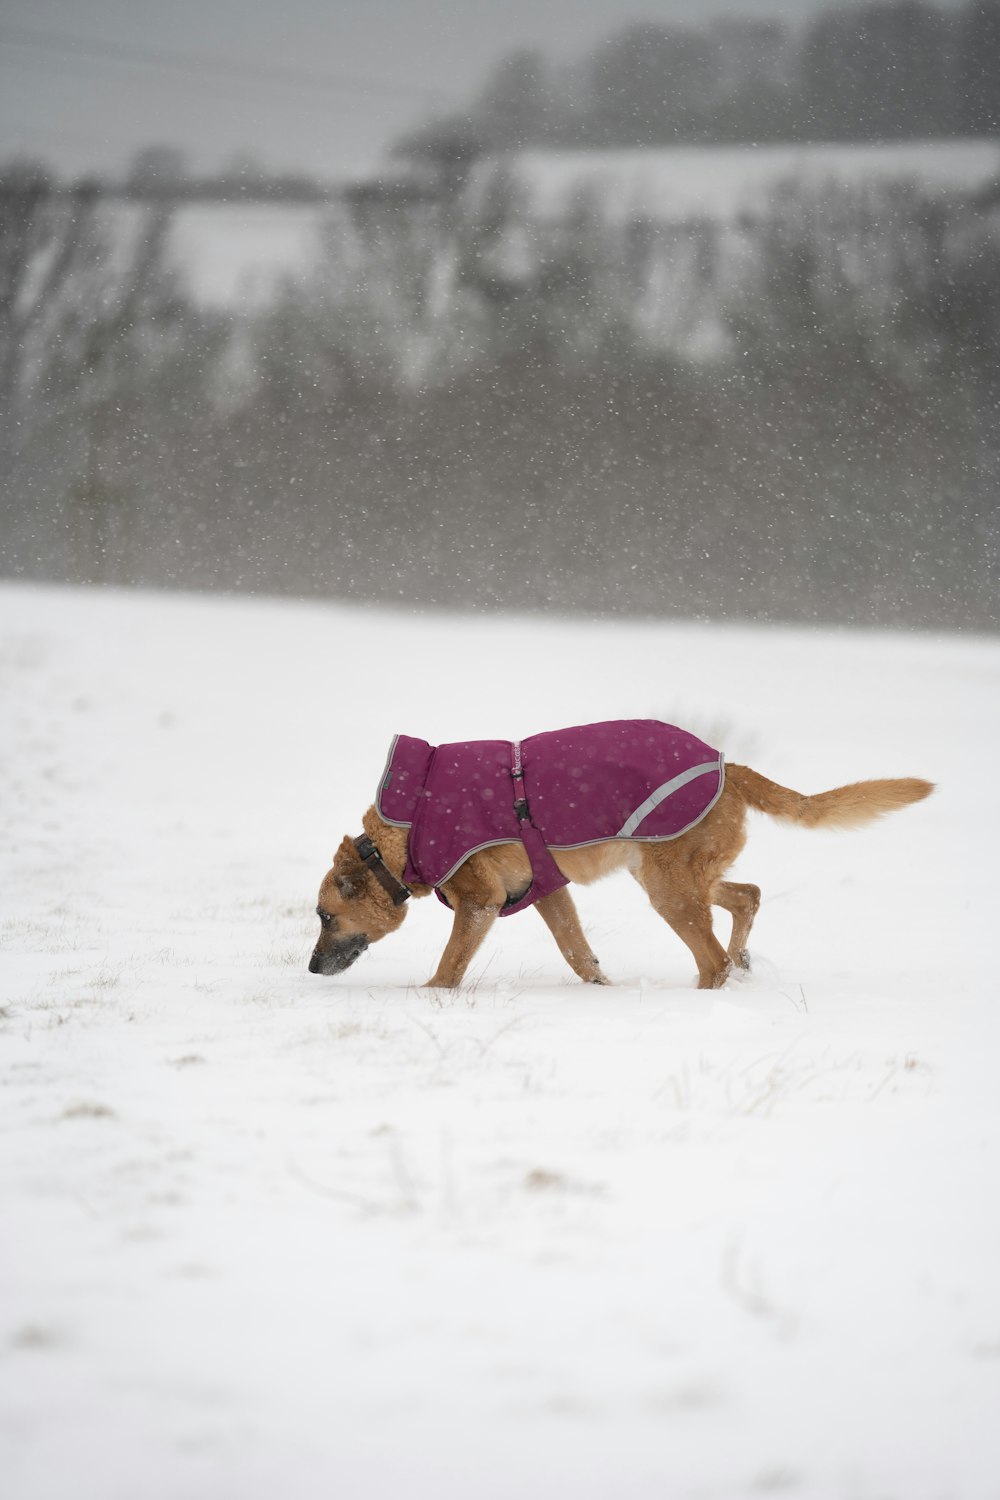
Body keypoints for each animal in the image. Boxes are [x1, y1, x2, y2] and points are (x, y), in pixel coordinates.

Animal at [308, 720, 935, 990]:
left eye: (324, 917)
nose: (311, 968)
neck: (397, 837)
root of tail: (730, 768)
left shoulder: (480, 903)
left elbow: (448, 967)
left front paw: (427, 998)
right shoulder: (548, 893)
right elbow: (578, 953)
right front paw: (600, 992)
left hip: (669, 889)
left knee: (712, 959)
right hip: (677, 878)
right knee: (747, 898)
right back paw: (743, 964)